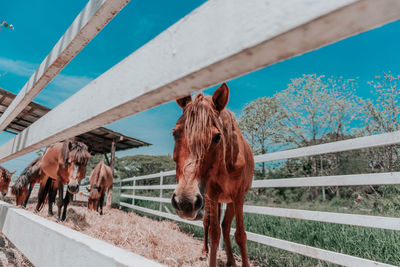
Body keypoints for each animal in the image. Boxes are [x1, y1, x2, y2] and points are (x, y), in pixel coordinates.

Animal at [171, 84, 253, 267]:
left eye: (217, 137)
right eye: (175, 133)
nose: (185, 202)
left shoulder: (238, 196)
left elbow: (240, 235)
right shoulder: (212, 193)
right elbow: (214, 232)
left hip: (229, 201)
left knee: (226, 226)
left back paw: (231, 260)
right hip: (210, 199)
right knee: (209, 224)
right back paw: (205, 251)